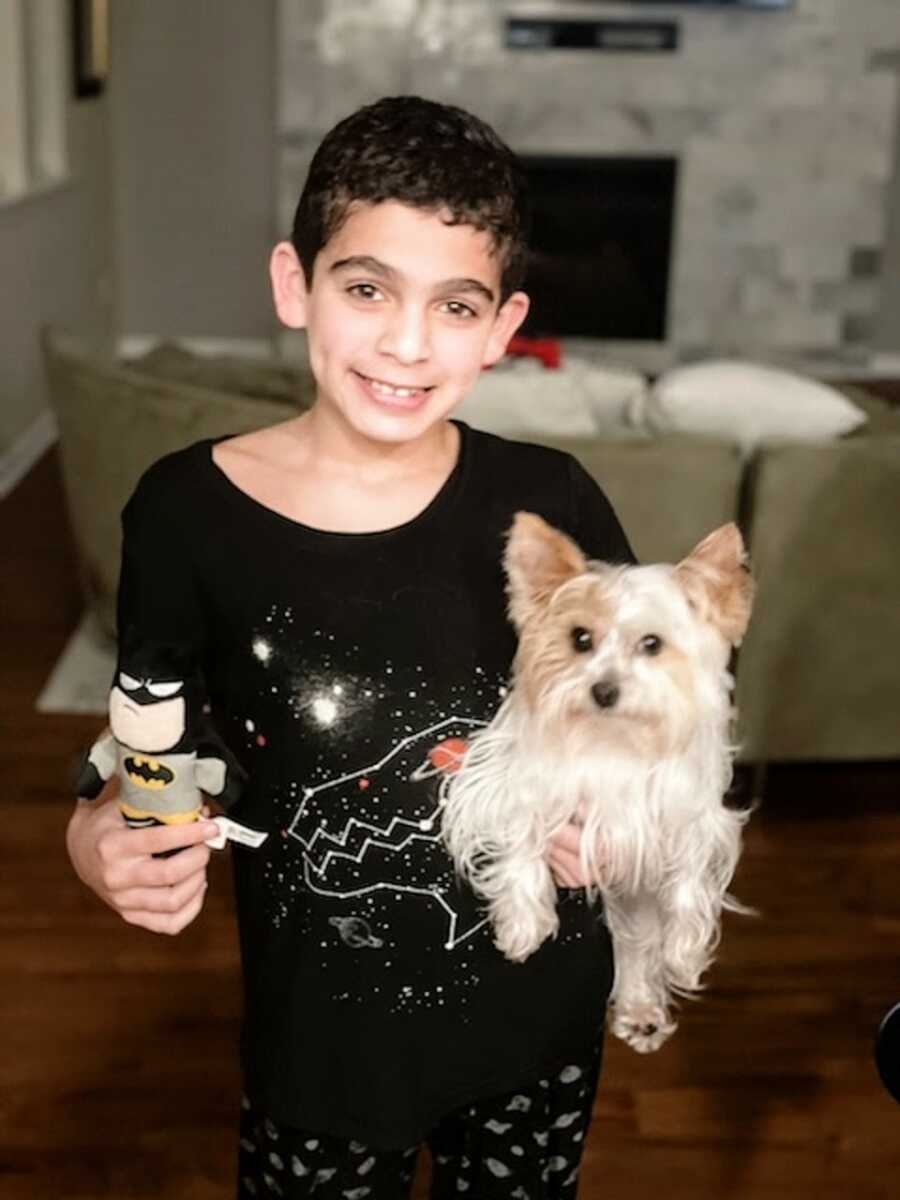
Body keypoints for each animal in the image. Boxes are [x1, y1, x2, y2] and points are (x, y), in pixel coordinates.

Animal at [441, 516, 758, 1051]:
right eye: (580, 638)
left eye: (652, 644)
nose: (603, 690)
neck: (612, 740)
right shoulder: (516, 781)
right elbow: (523, 837)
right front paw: (523, 923)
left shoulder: (688, 816)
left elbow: (688, 885)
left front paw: (685, 955)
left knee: (637, 939)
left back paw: (642, 1007)